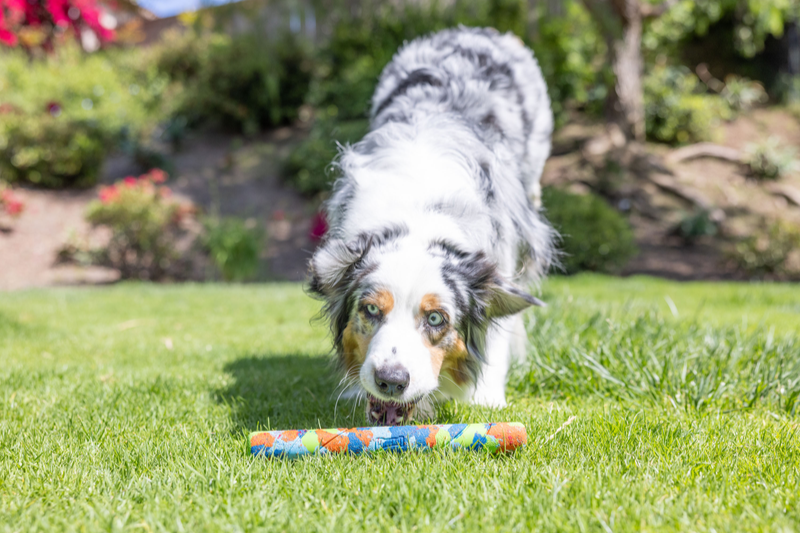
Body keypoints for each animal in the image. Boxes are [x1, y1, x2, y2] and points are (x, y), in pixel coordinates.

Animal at [310, 27, 552, 426]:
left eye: (436, 318)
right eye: (370, 310)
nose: (390, 380)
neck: (417, 214)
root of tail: (471, 30)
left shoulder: (500, 258)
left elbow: (496, 333)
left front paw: (487, 398)